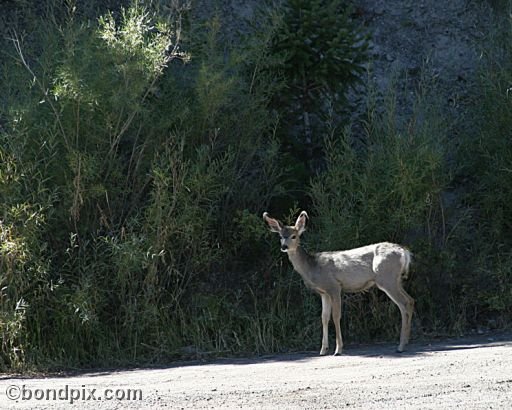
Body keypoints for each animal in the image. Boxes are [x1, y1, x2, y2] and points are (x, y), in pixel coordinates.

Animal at [262, 210, 414, 354]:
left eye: (294, 236)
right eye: (280, 236)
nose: (284, 247)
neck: (312, 267)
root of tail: (404, 252)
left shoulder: (334, 286)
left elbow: (335, 316)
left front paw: (338, 349)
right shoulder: (323, 293)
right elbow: (324, 317)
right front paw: (323, 350)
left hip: (386, 278)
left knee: (403, 303)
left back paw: (400, 346)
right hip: (396, 280)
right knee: (410, 300)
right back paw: (406, 341)